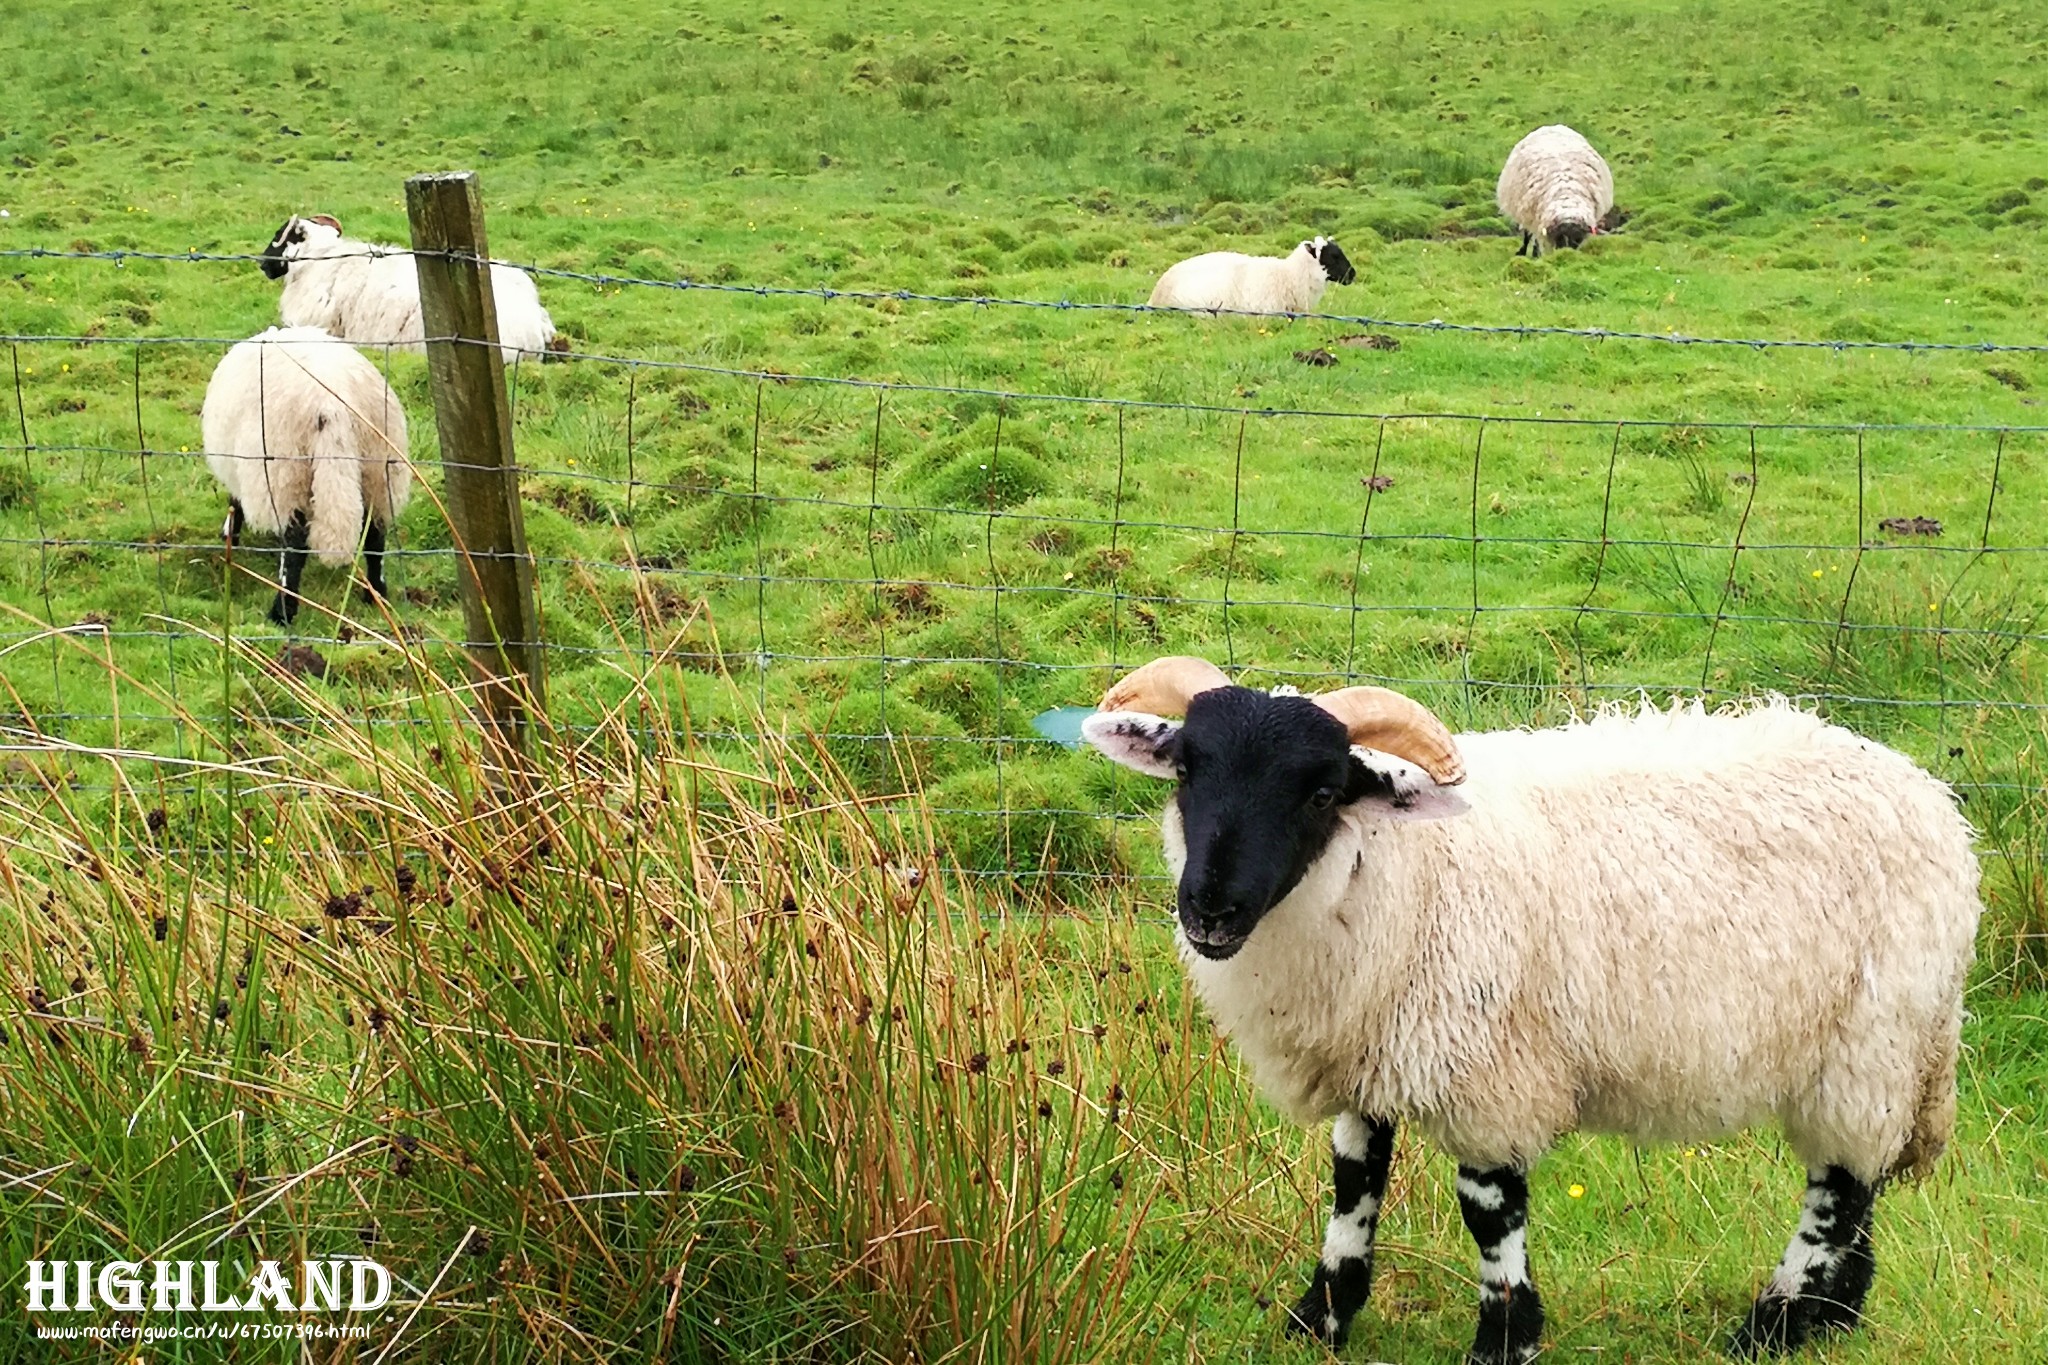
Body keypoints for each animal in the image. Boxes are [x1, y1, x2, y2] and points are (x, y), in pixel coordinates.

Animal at [200, 325, 411, 626]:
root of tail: (331, 405)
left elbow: (235, 501)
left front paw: (230, 533)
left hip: (285, 473)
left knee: (295, 547)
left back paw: (283, 610)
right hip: (378, 470)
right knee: (374, 534)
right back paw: (376, 595)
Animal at [1081, 654, 1974, 1358]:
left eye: (1324, 792)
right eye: (1187, 771)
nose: (1211, 910)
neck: (1398, 867)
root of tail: (1935, 802)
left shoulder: (1492, 1072)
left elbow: (1489, 1212)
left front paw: (1504, 1341)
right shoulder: (1374, 1051)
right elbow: (1354, 1185)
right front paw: (1320, 1320)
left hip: (1870, 1040)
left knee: (1839, 1191)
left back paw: (1773, 1325)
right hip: (1883, 1053)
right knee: (1861, 1178)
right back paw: (1835, 1316)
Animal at [1490, 126, 1613, 259]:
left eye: (1577, 240)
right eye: (1559, 239)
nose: (1567, 255)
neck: (1566, 194)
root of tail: (1553, 126)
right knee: (1528, 234)